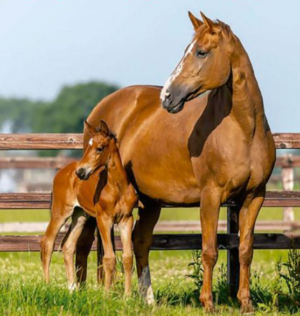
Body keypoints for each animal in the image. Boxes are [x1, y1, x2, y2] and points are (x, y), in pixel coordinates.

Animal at [40, 119, 137, 296]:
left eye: (100, 148)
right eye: (88, 147)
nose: (80, 172)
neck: (118, 187)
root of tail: (61, 172)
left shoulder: (126, 219)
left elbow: (127, 257)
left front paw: (127, 296)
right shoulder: (103, 219)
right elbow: (109, 258)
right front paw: (107, 295)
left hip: (80, 216)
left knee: (67, 246)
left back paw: (72, 288)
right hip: (61, 212)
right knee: (47, 242)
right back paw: (47, 285)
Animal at [74, 11, 274, 312]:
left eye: (201, 52)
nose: (167, 96)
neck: (243, 129)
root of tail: (101, 108)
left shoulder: (254, 196)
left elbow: (245, 250)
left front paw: (246, 303)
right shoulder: (211, 195)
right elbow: (209, 250)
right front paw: (208, 303)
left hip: (150, 201)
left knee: (140, 242)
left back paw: (148, 299)